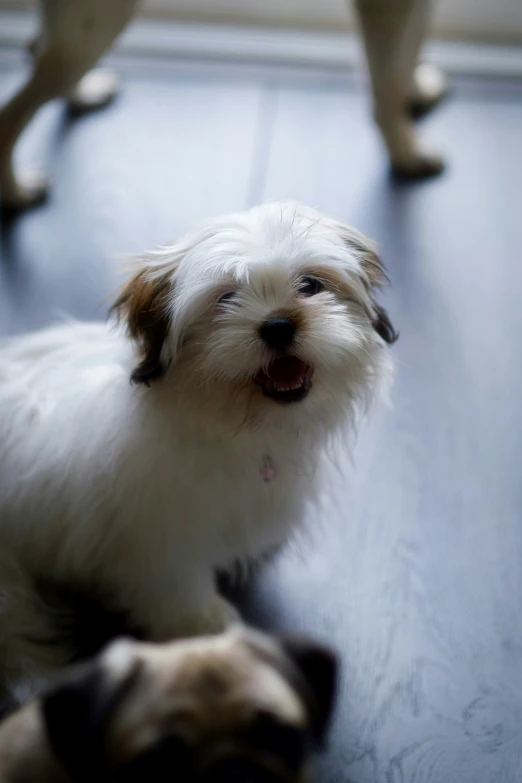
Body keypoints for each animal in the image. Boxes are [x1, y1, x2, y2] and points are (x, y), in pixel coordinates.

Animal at [0, 202, 394, 704]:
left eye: (310, 285)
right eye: (225, 299)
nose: (278, 325)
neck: (230, 424)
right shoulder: (155, 534)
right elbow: (174, 583)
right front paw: (203, 623)